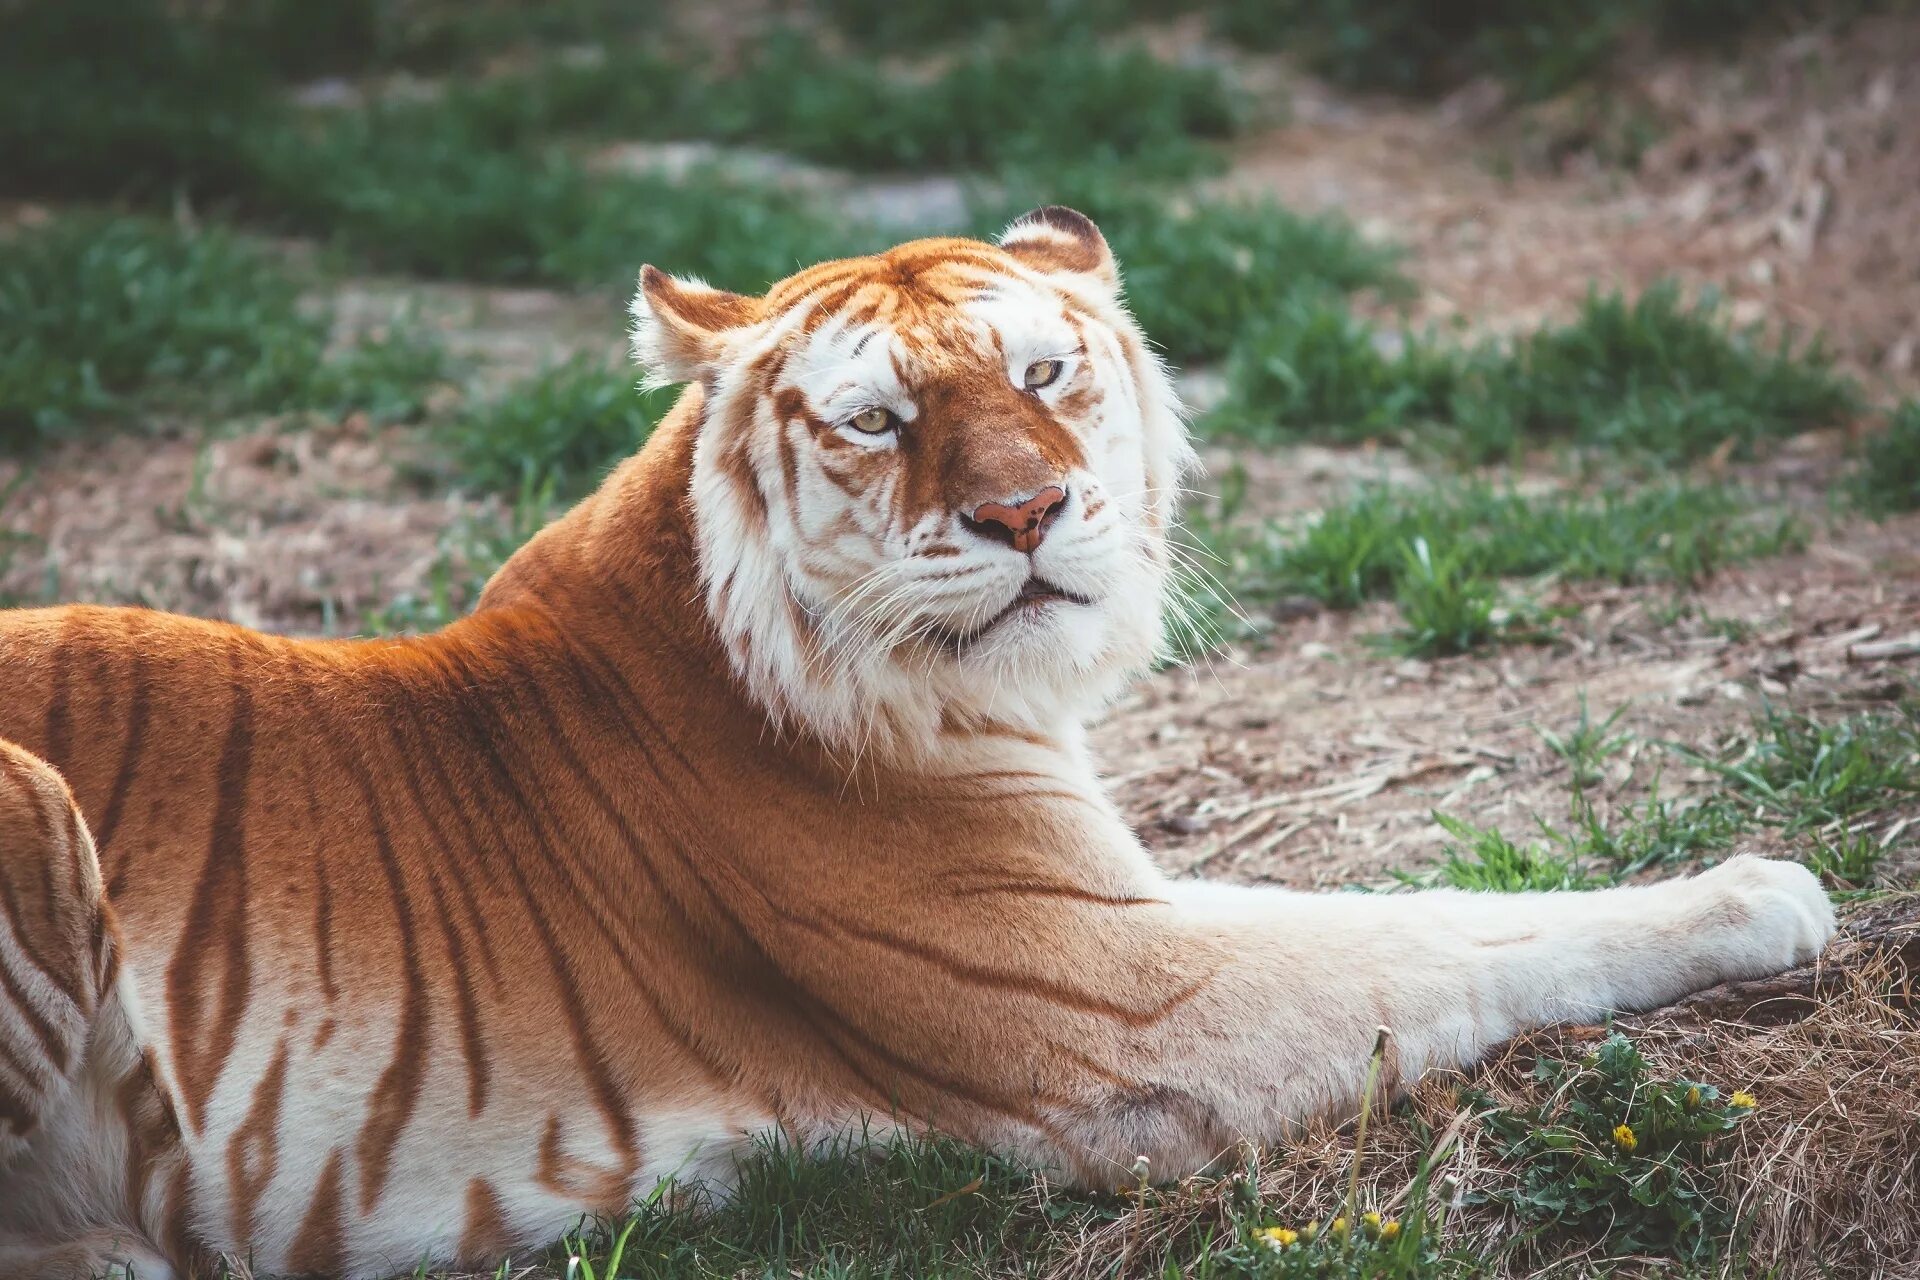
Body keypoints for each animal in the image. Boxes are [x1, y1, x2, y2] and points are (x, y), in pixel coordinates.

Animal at [0, 205, 1827, 1274]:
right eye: (880, 419)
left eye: (1046, 372)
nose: (1023, 512)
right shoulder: (1131, 1007)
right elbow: (1457, 932)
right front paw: (1765, 893)